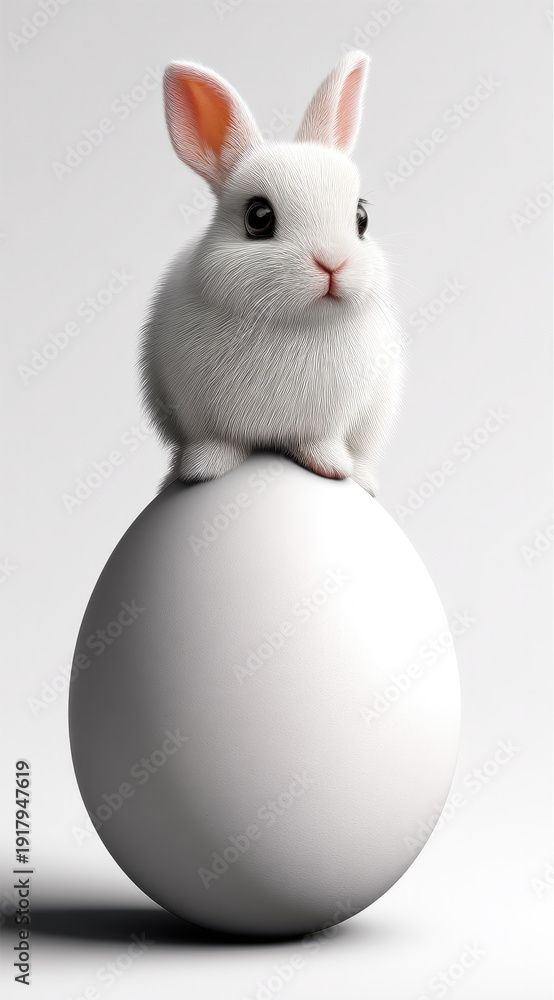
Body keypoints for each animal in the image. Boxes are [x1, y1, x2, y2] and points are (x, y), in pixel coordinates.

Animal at [140, 50, 406, 496]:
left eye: (361, 218)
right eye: (258, 218)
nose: (332, 263)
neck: (295, 323)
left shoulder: (331, 417)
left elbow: (321, 440)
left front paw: (332, 467)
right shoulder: (197, 412)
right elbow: (214, 442)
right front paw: (204, 469)